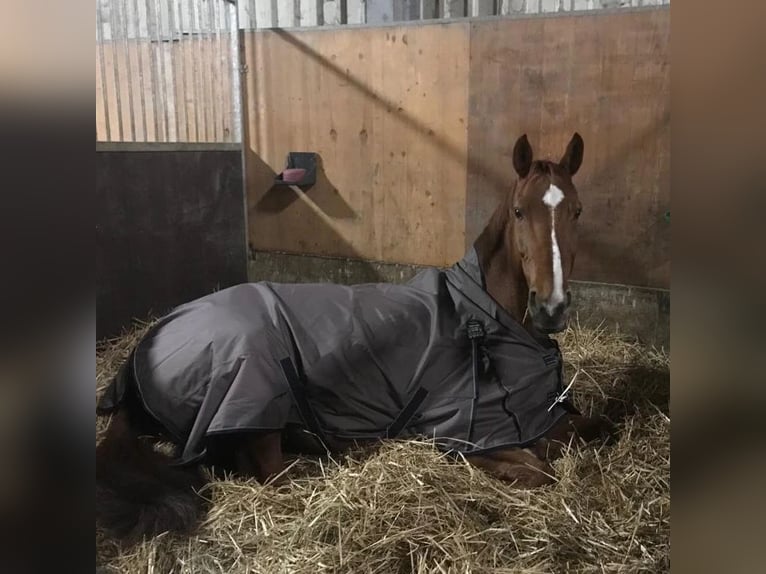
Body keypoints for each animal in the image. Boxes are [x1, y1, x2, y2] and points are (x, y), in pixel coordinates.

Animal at [96, 134, 616, 544]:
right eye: (519, 212)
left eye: (578, 211)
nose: (552, 307)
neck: (483, 319)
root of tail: (144, 350)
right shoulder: (465, 435)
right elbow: (537, 467)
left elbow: (596, 429)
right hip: (257, 395)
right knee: (271, 472)